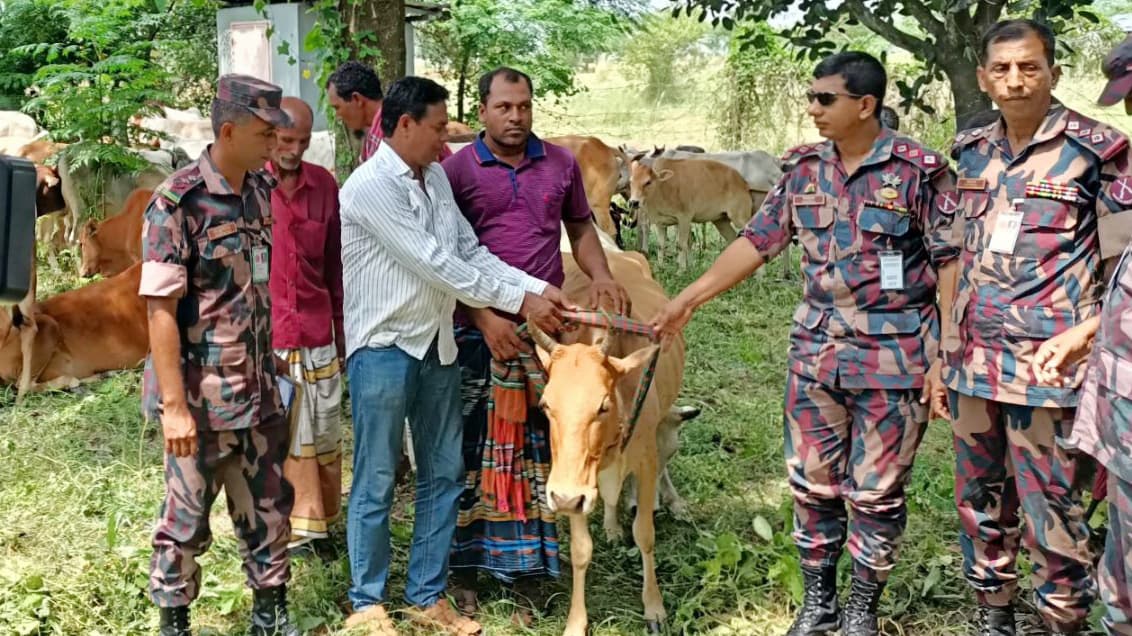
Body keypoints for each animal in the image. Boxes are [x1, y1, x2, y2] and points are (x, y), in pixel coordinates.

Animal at [525, 247, 683, 633]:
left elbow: (645, 532)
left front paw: (654, 607)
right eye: (546, 404)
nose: (565, 498)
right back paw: (612, 524)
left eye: (602, 405)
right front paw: (575, 621)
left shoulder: (645, 461)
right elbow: (581, 549)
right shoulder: (571, 480)